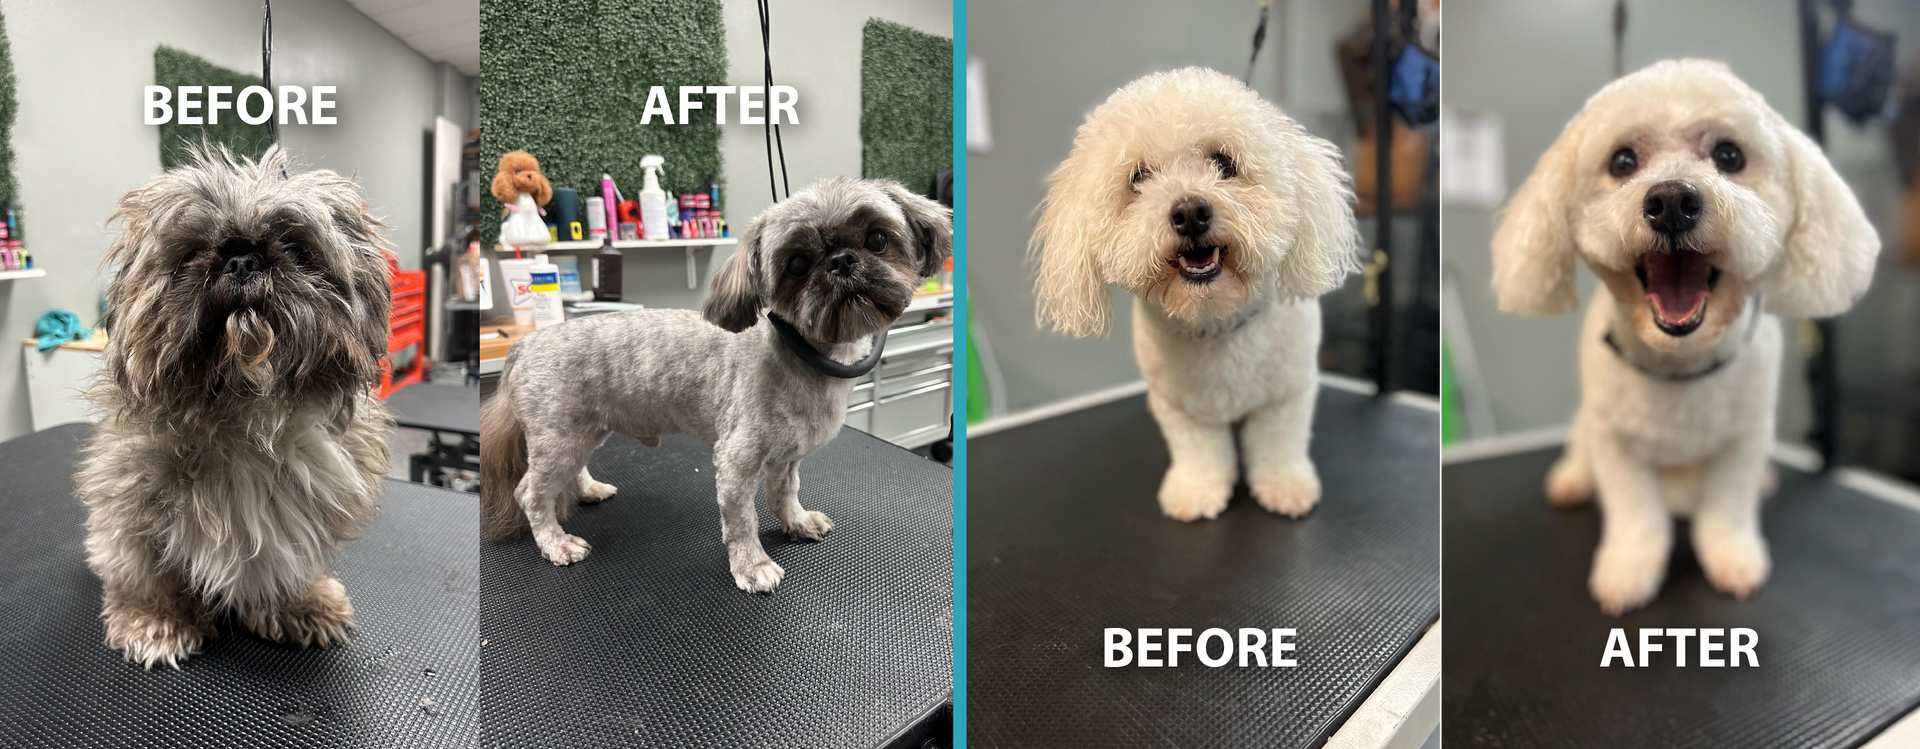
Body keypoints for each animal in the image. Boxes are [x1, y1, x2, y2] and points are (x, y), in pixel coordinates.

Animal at [76, 144, 399, 668]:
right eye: (190, 253)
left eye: (297, 250)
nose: (243, 260)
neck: (244, 410)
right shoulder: (127, 506)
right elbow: (146, 574)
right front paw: (156, 618)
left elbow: (285, 560)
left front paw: (296, 603)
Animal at [487, 176, 952, 591]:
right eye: (797, 264)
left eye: (877, 239)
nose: (841, 261)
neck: (803, 357)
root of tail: (526, 344)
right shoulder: (736, 460)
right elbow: (742, 520)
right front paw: (753, 566)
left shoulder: (787, 456)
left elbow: (785, 493)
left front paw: (797, 522)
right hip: (559, 435)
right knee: (531, 493)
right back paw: (556, 542)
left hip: (585, 429)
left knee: (571, 470)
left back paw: (587, 490)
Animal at [1036, 67, 1367, 522]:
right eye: (1139, 177)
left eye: (1224, 162)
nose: (1190, 212)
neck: (1216, 319)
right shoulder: (1182, 410)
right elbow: (1199, 454)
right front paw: (1197, 491)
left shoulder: (1285, 397)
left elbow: (1279, 446)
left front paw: (1284, 486)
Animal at [1489, 60, 1881, 614]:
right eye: (1623, 161)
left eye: (1730, 156)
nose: (1672, 200)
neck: (1680, 363)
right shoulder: (1617, 444)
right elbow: (1636, 515)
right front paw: (1629, 570)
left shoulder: (1744, 439)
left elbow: (1727, 508)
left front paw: (1734, 558)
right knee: (1580, 445)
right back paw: (1573, 477)